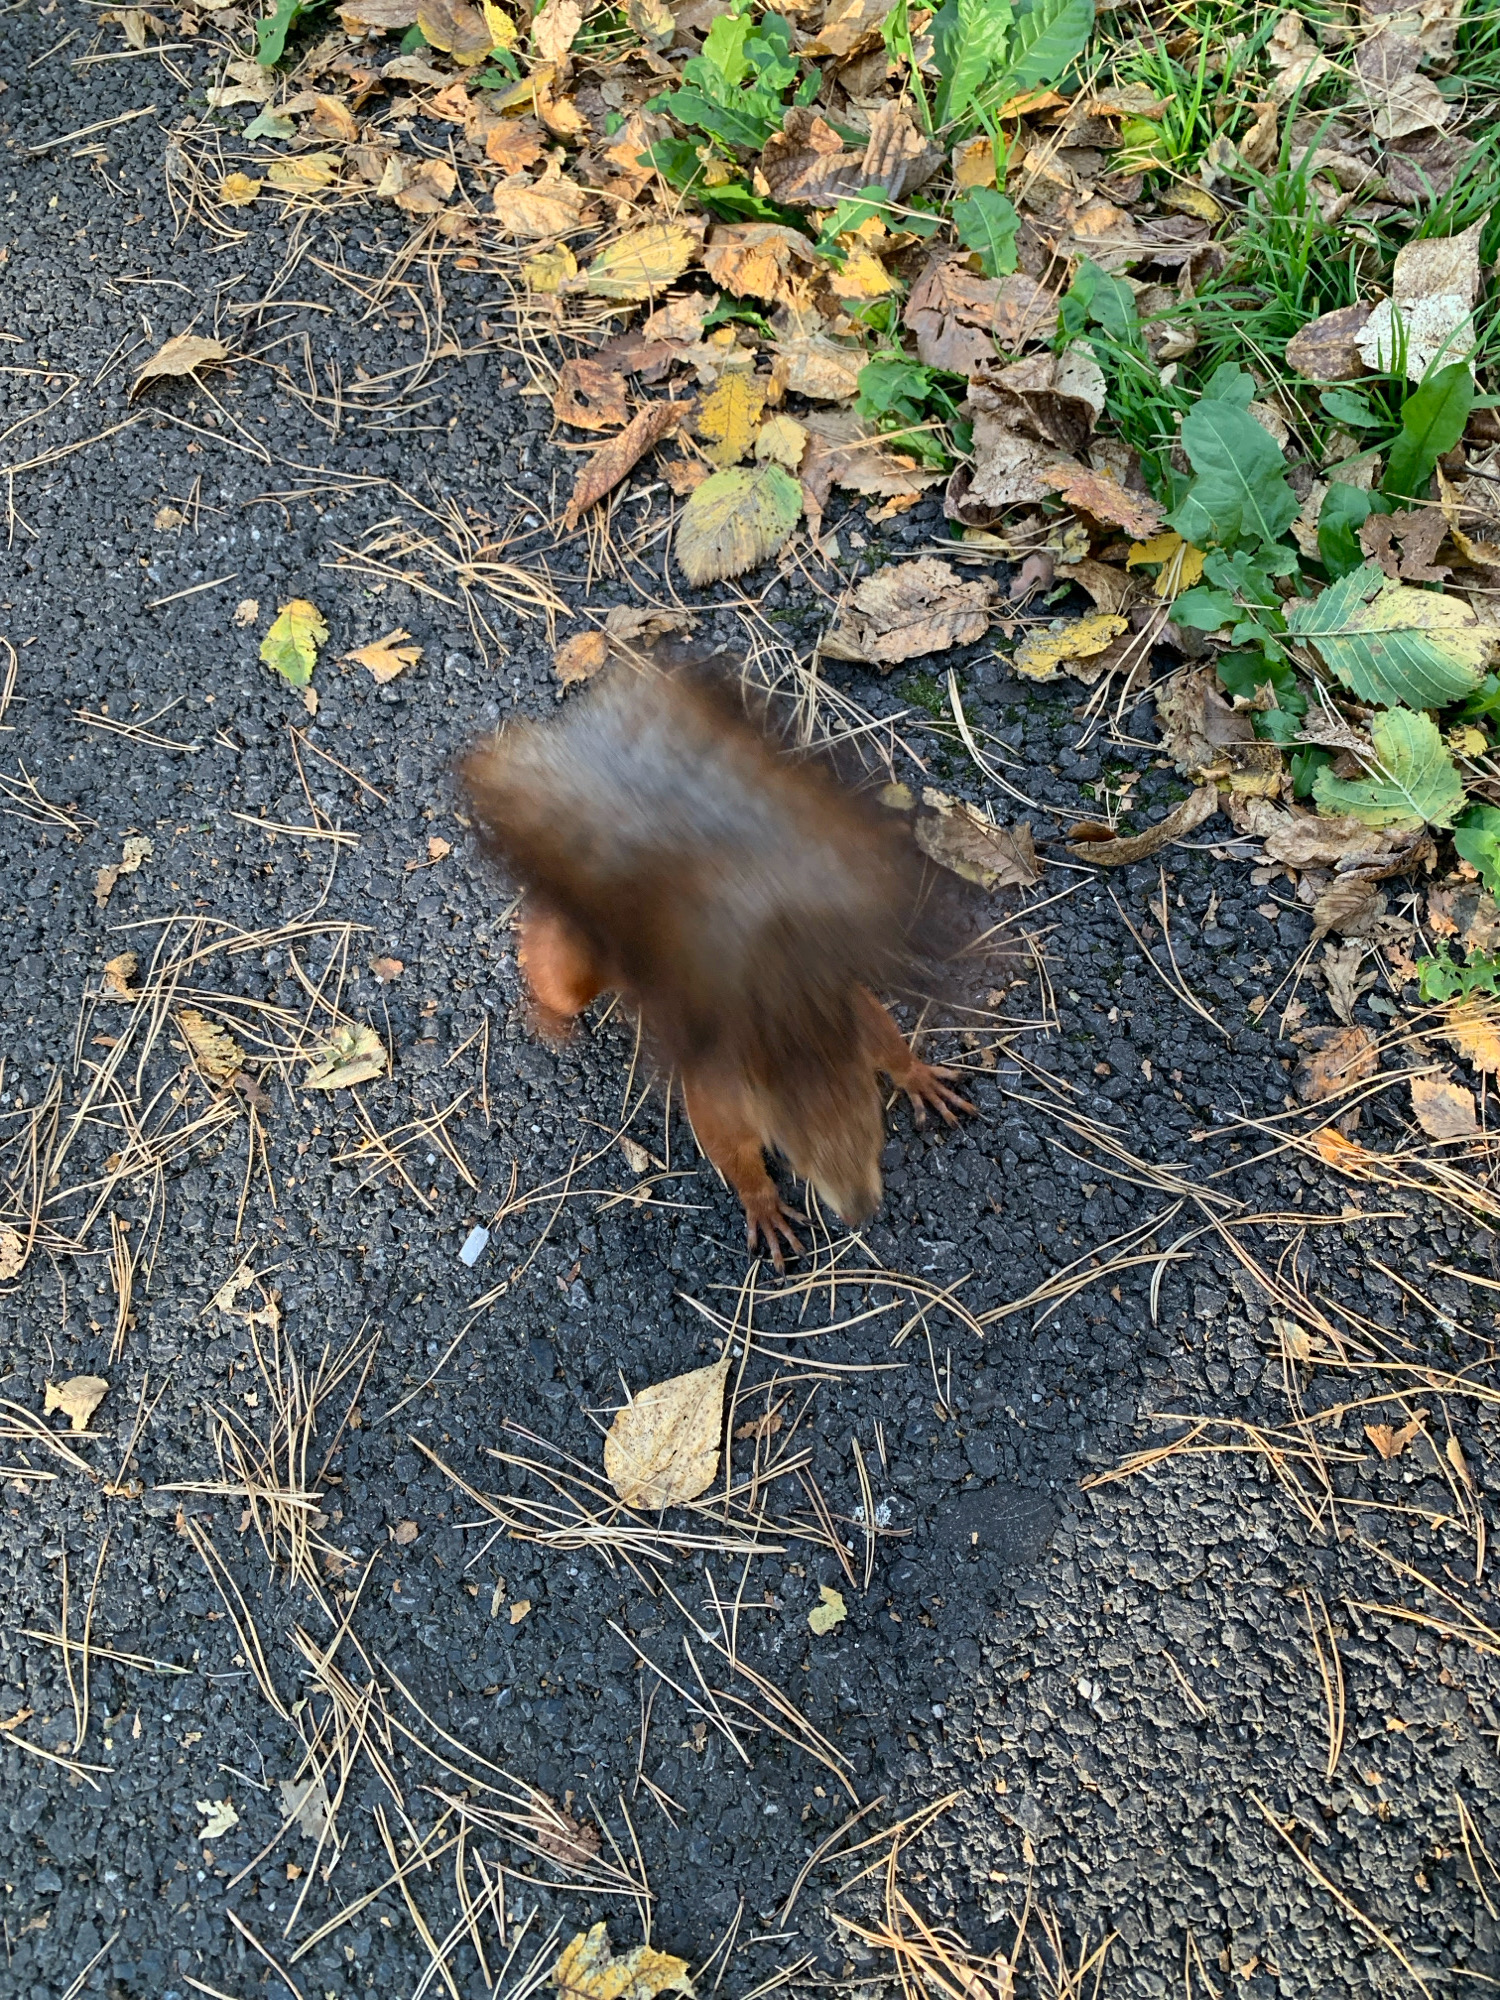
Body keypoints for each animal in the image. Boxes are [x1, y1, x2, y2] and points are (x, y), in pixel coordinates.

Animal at [459, 648, 973, 1265]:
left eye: (874, 1121)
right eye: (788, 1151)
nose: (862, 1214)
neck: (790, 1026)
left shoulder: (849, 1008)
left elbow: (889, 1046)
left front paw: (918, 1077)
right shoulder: (719, 1081)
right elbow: (728, 1148)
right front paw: (764, 1204)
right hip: (578, 959)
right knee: (554, 966)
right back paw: (547, 1009)